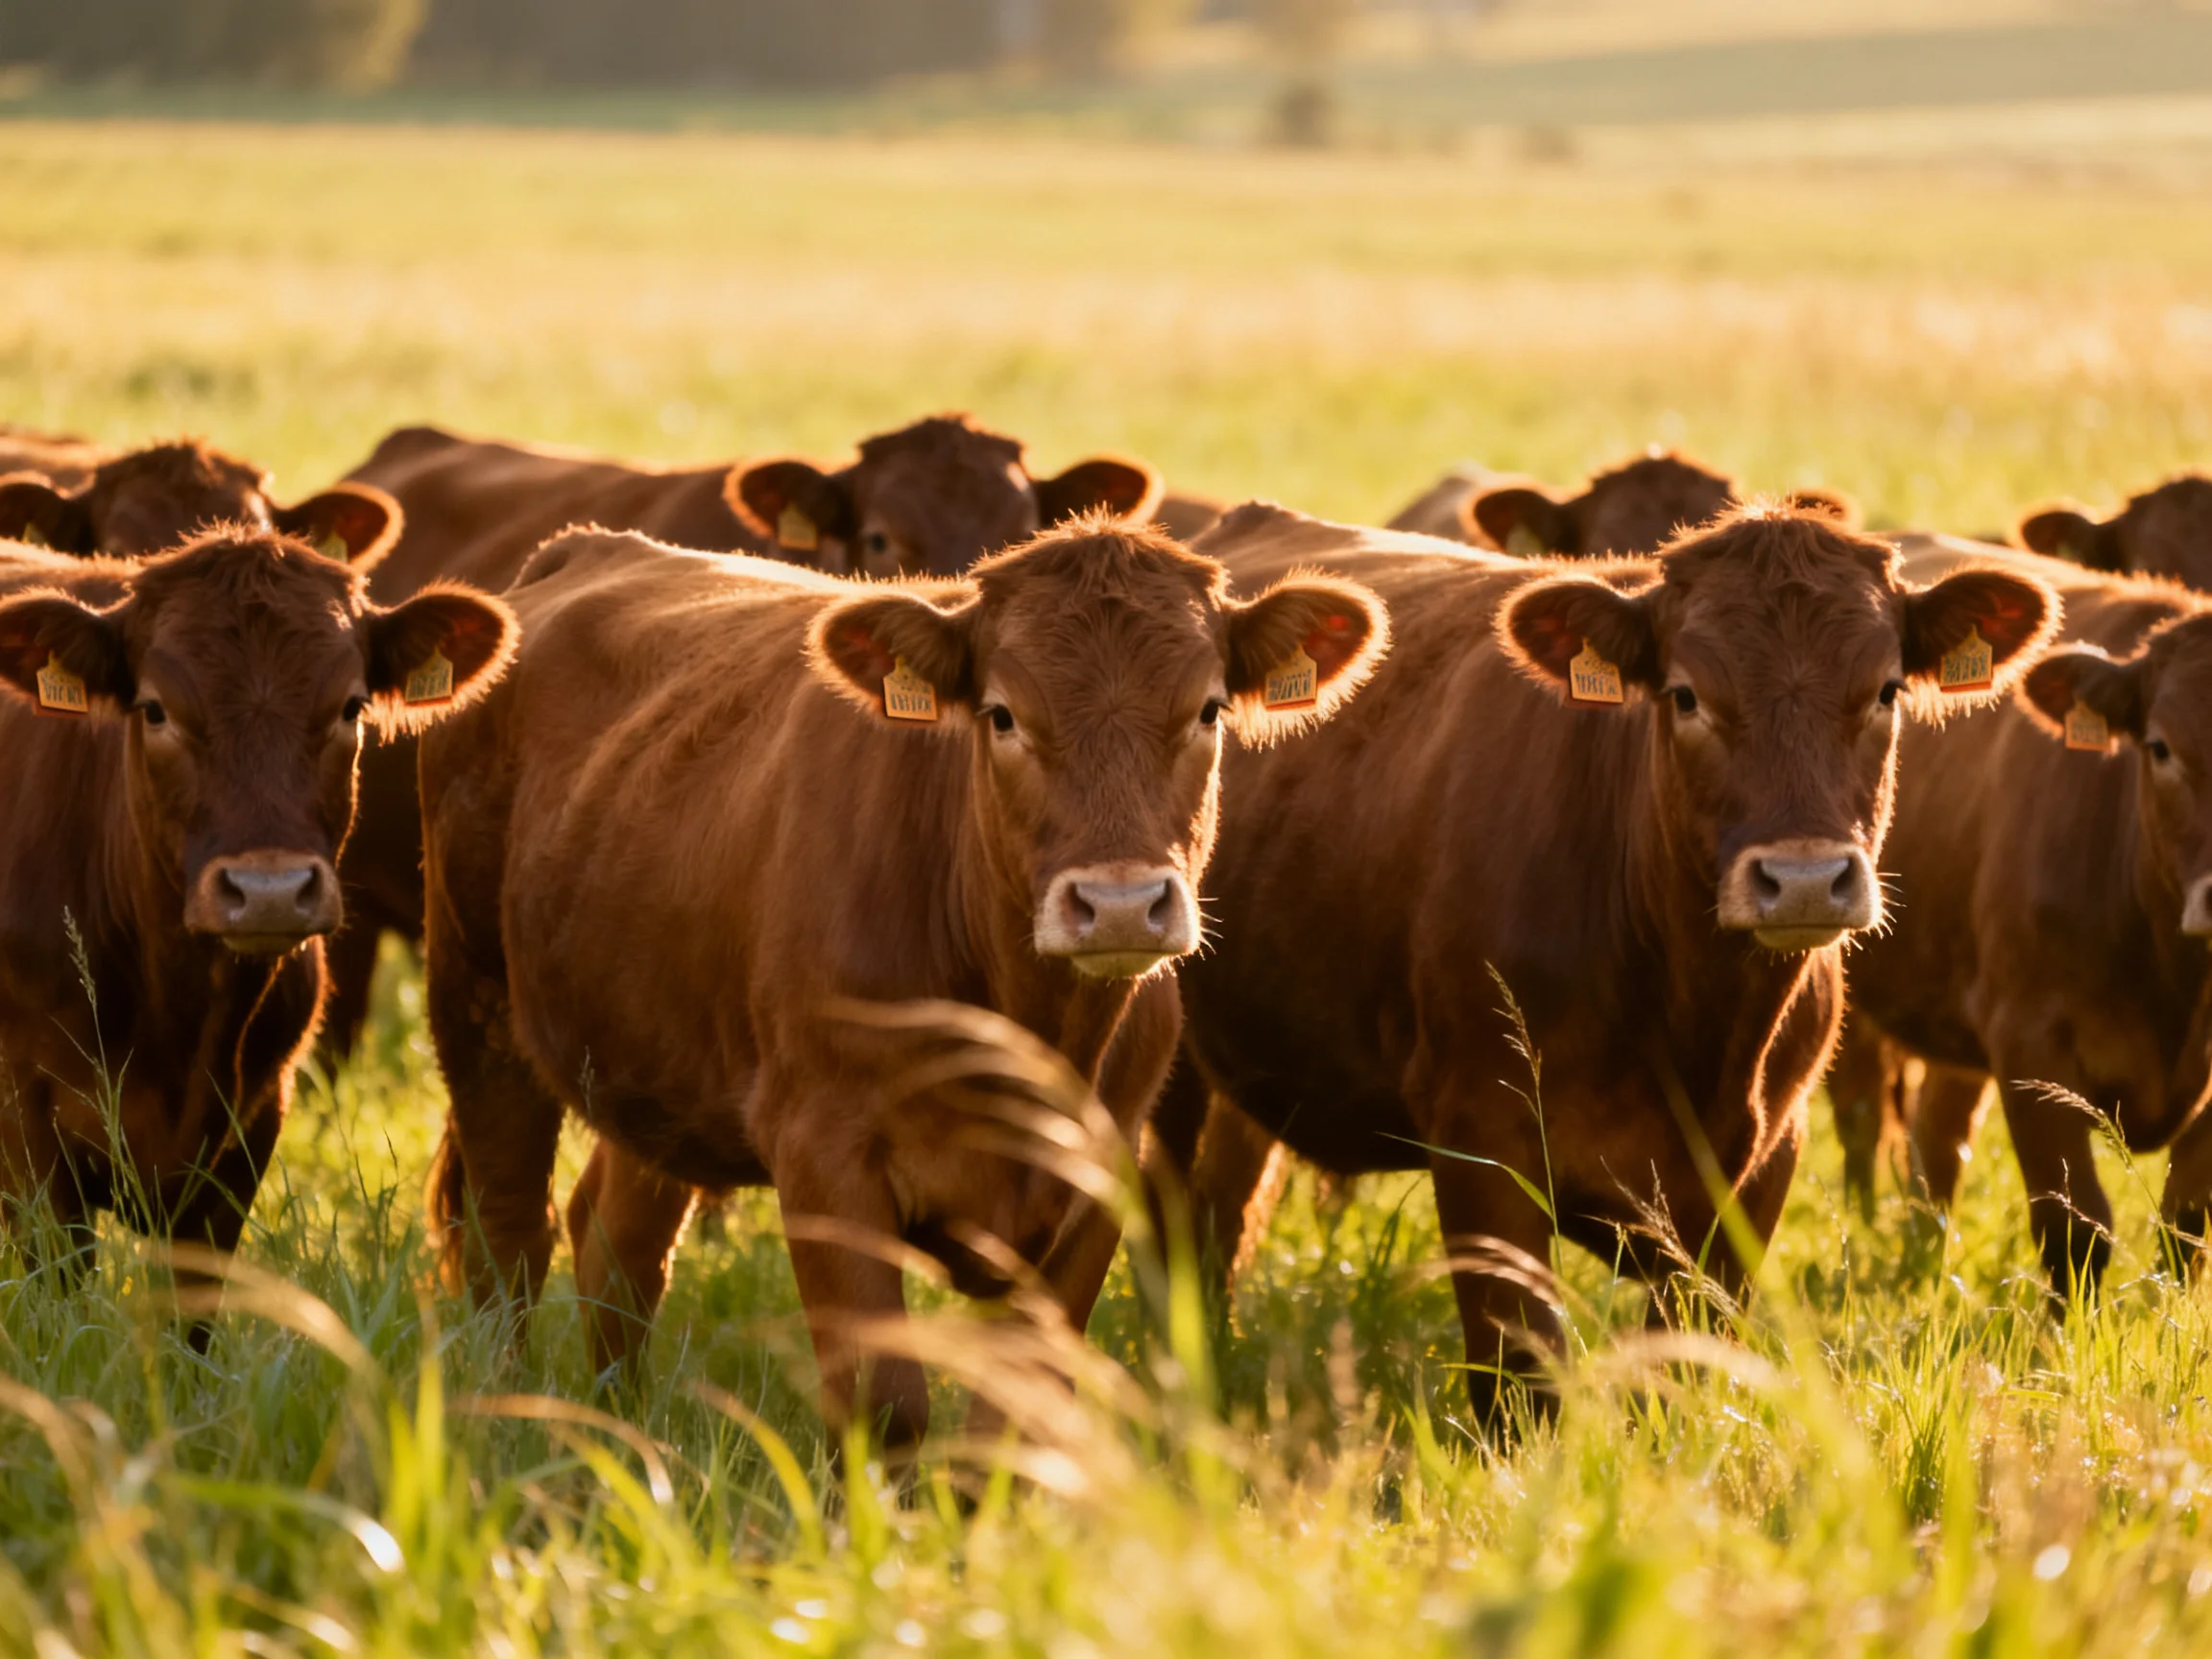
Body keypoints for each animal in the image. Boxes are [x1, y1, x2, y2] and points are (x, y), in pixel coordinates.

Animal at [414, 518, 1387, 1450]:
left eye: (1209, 710)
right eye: (1002, 715)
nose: (1118, 906)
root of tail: (581, 549)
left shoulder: (1099, 1170)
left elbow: (1014, 1422)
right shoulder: (822, 1151)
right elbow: (885, 1409)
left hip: (653, 1059)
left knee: (619, 1244)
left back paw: (617, 1427)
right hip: (475, 999)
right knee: (509, 1233)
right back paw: (506, 1418)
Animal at [1148, 501, 2055, 1422]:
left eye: (1886, 691)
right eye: (1686, 695)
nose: (1803, 880)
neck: (1696, 1029)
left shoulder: (1764, 1164)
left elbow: (1683, 1369)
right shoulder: (1482, 1140)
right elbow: (1520, 1379)